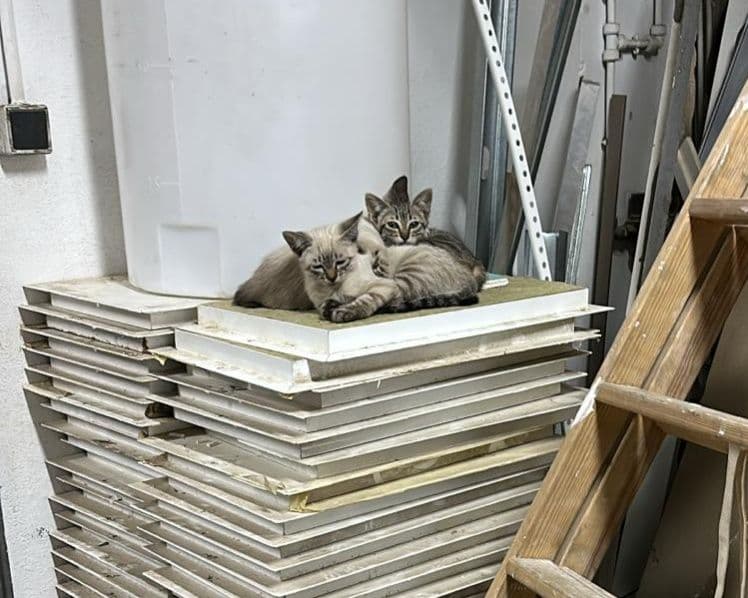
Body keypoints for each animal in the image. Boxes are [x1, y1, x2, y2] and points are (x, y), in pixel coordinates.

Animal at [283, 213, 478, 323]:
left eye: (341, 262)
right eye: (318, 266)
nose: (332, 277)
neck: (331, 289)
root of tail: (470, 278)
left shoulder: (383, 285)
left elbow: (365, 300)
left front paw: (344, 311)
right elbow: (327, 305)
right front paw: (330, 307)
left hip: (405, 277)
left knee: (397, 301)